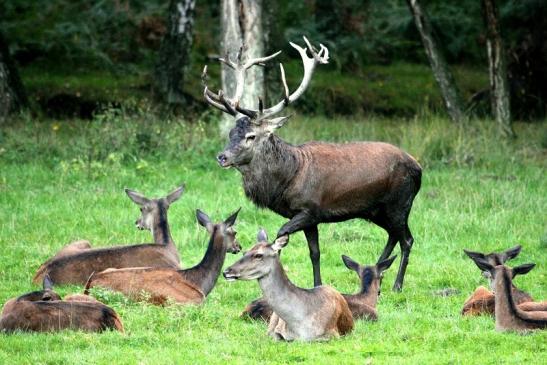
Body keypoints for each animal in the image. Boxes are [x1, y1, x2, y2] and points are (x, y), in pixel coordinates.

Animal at [203, 34, 422, 290]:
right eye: (230, 133)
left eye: (251, 136)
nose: (222, 157)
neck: (288, 177)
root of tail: (419, 168)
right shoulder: (310, 218)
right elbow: (314, 253)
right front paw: (317, 284)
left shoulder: (310, 209)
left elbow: (282, 237)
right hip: (377, 210)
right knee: (393, 235)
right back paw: (378, 271)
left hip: (400, 202)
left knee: (407, 239)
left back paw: (397, 285)